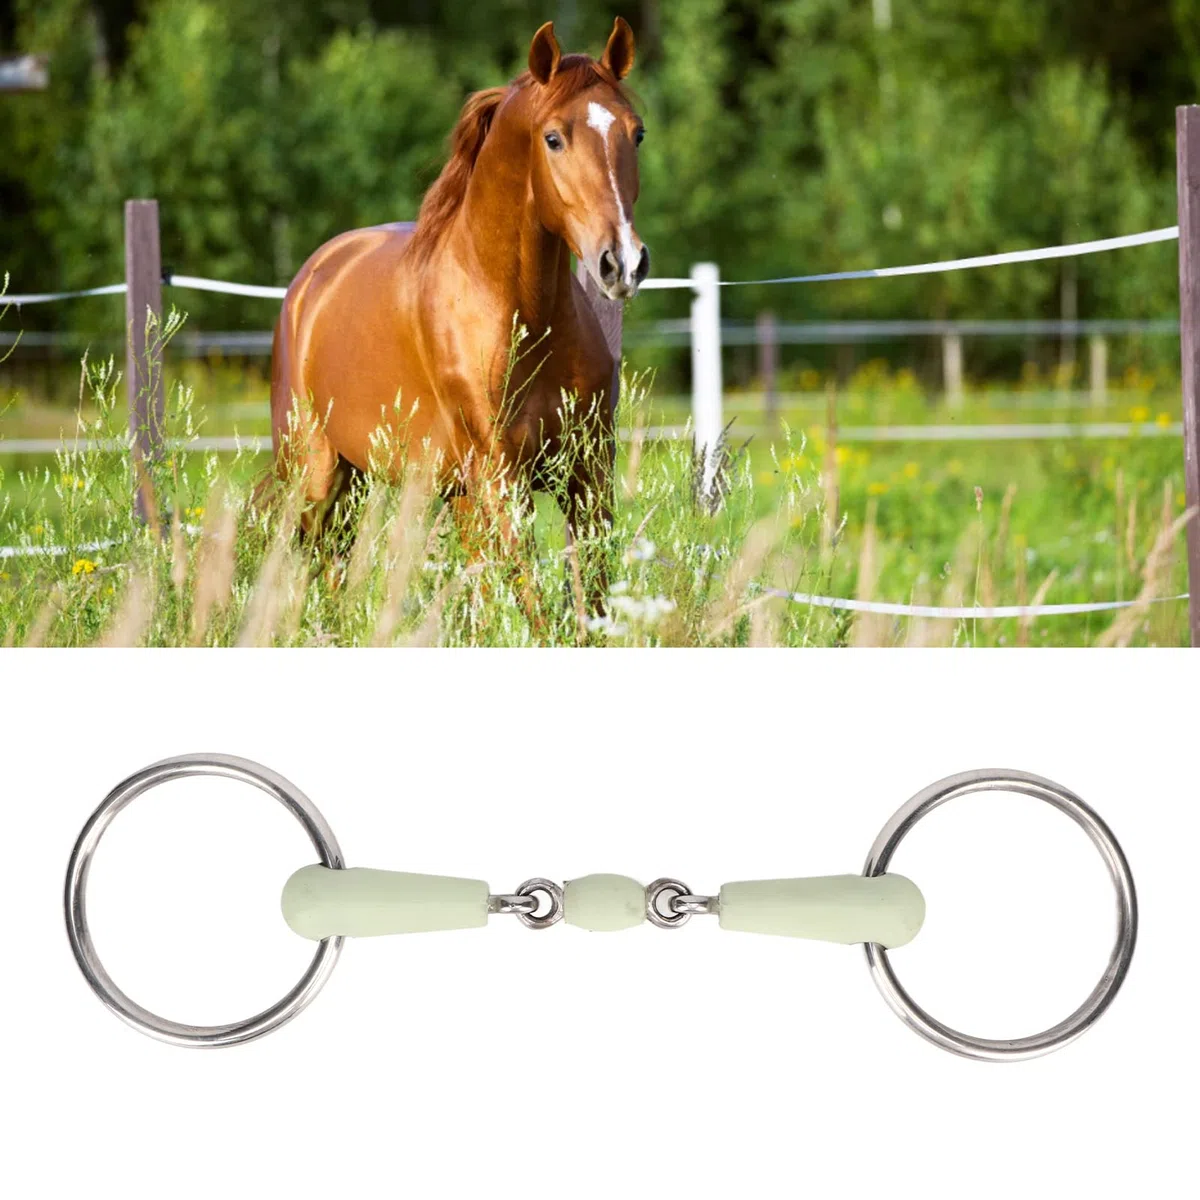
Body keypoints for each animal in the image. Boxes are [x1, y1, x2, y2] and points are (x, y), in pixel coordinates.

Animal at [269, 18, 649, 612]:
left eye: (636, 133)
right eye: (554, 138)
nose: (623, 263)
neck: (521, 318)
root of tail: (312, 278)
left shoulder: (586, 474)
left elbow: (591, 599)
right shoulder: (501, 479)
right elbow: (534, 604)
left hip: (402, 486)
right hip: (316, 476)